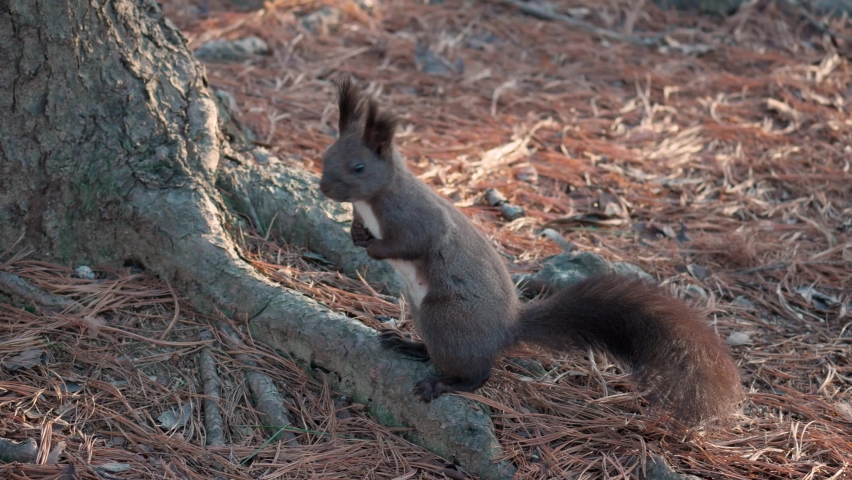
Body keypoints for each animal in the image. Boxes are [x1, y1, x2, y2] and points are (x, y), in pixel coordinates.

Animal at [318, 77, 743, 427]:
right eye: (326, 155)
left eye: (358, 167)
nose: (324, 188)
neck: (373, 202)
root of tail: (506, 331)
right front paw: (356, 234)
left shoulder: (418, 217)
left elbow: (416, 242)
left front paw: (375, 248)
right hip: (427, 317)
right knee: (442, 354)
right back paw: (408, 344)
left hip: (447, 319)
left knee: (478, 373)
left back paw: (444, 385)